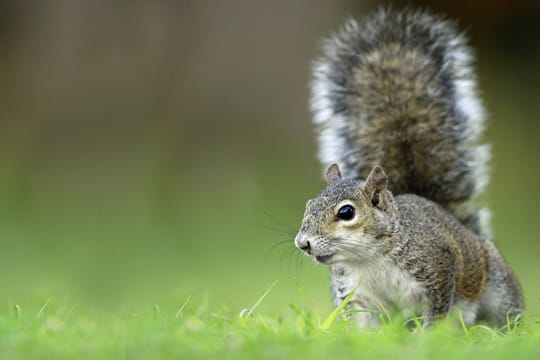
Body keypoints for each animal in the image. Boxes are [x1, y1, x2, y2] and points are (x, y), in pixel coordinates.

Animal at [296, 8, 524, 330]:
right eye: (309, 204)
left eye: (346, 212)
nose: (302, 243)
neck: (367, 258)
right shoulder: (356, 292)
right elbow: (362, 325)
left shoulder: (439, 269)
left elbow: (437, 311)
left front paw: (428, 336)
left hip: (498, 286)